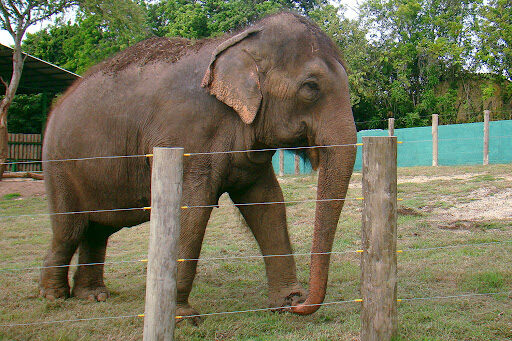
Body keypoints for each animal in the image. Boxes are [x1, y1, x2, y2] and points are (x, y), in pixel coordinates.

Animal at [40, 11, 356, 318]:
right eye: (311, 87)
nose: (300, 304)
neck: (237, 41)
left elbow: (268, 204)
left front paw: (286, 302)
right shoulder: (186, 136)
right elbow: (192, 208)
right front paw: (183, 316)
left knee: (97, 230)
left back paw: (93, 295)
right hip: (58, 165)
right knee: (69, 228)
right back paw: (54, 296)